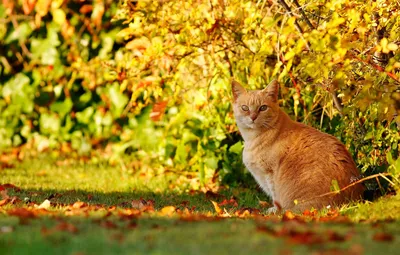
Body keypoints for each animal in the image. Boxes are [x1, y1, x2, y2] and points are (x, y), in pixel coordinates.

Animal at [231, 79, 366, 213]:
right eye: (245, 108)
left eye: (263, 108)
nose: (253, 117)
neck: (253, 138)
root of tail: (350, 201)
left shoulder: (270, 174)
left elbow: (275, 197)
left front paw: (275, 211)